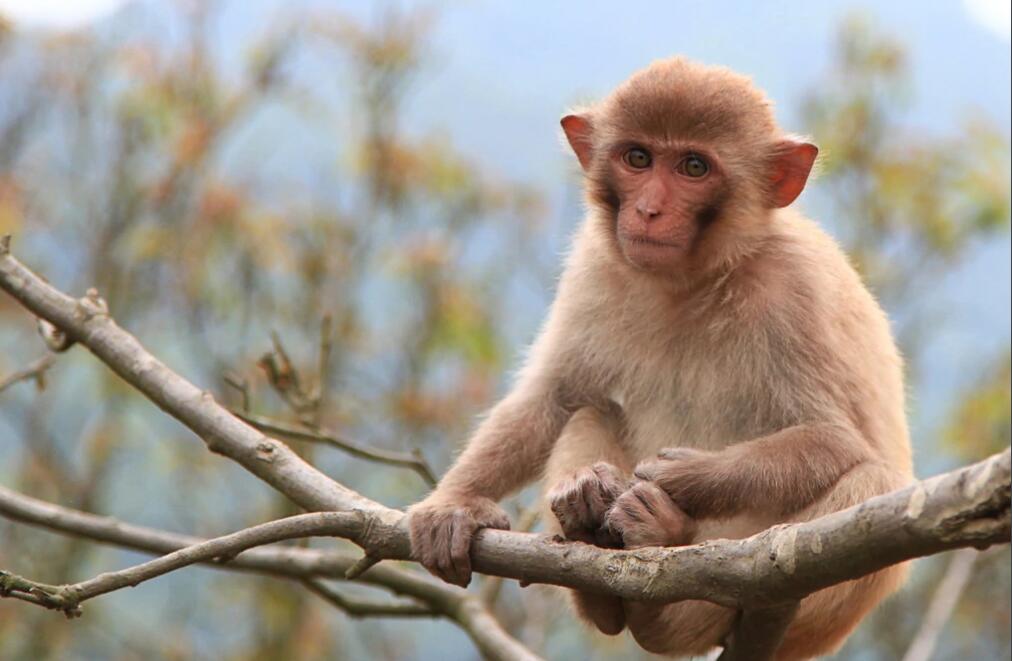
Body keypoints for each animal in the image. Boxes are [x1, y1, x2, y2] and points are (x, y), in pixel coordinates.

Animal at [406, 57, 914, 659]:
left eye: (694, 167)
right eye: (638, 158)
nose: (649, 210)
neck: (692, 281)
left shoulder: (795, 288)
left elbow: (837, 439)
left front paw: (682, 476)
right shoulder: (595, 264)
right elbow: (552, 398)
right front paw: (456, 503)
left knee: (875, 481)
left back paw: (667, 541)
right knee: (591, 409)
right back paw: (595, 554)